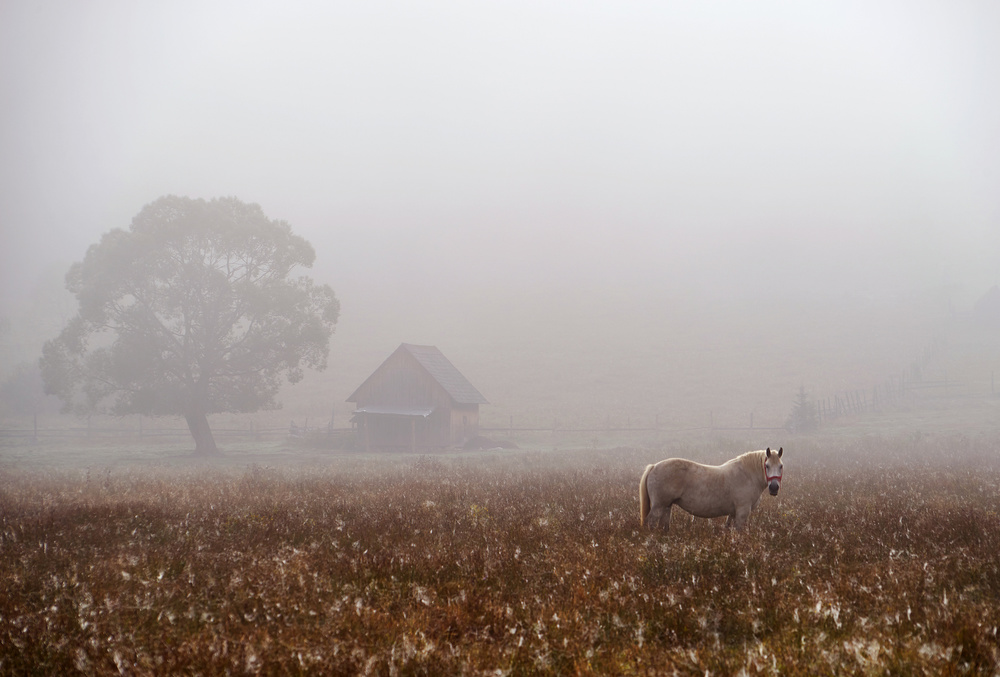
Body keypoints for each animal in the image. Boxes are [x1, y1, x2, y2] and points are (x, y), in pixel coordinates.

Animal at [640, 446, 780, 532]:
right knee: (650, 523)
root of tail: (653, 467)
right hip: (659, 506)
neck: (747, 475)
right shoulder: (742, 511)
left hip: (667, 506)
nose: (774, 488)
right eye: (767, 466)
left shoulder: (733, 513)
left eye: (781, 466)